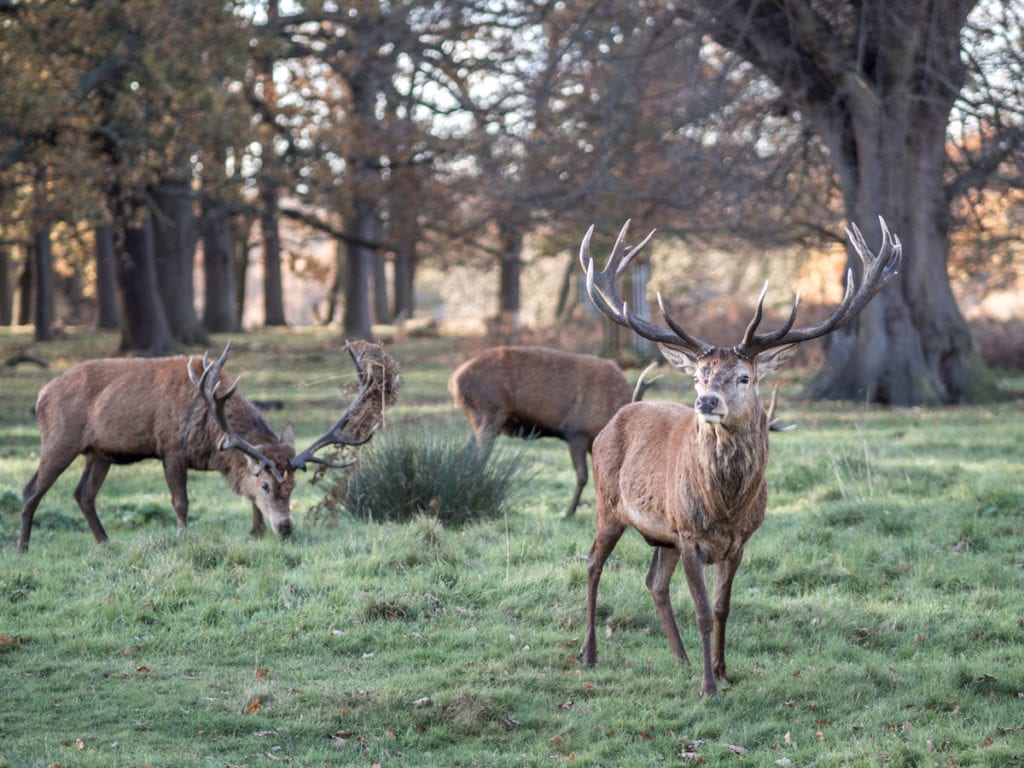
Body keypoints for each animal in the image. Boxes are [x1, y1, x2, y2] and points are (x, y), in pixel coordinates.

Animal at [18, 344, 380, 552]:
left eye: (292, 486)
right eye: (266, 484)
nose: (286, 527)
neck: (211, 440)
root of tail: (40, 395)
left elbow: (244, 495)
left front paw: (256, 532)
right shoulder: (170, 449)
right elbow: (181, 502)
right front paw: (183, 539)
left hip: (99, 452)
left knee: (83, 494)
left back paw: (106, 544)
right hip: (59, 439)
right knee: (31, 490)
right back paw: (22, 547)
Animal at [448, 348, 655, 518]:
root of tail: (453, 382)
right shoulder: (576, 433)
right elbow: (583, 475)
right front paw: (568, 513)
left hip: (477, 418)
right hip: (489, 412)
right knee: (480, 456)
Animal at [581, 217, 901, 696]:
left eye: (744, 376)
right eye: (698, 375)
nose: (706, 401)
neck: (725, 507)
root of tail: (614, 418)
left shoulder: (738, 541)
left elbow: (722, 608)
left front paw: (722, 671)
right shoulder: (690, 534)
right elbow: (700, 611)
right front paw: (708, 688)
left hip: (662, 534)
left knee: (654, 582)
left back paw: (680, 658)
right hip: (608, 503)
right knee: (592, 564)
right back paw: (589, 654)